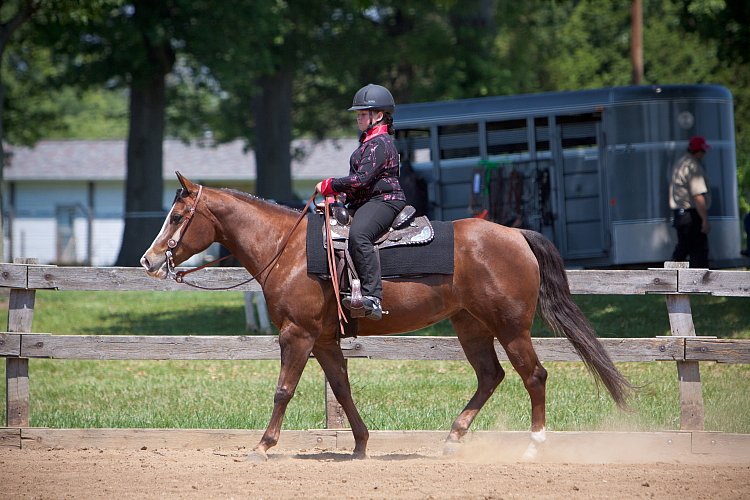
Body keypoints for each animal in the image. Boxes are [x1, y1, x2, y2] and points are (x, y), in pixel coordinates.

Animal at [141, 172, 636, 460]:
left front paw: (263, 445)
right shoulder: (323, 339)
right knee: (490, 376)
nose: (148, 260)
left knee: (534, 376)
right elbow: (342, 390)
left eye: (178, 216)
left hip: (511, 327)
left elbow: (283, 390)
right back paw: (453, 437)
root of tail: (516, 235)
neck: (288, 248)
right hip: (470, 325)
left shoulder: (297, 335)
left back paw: (534, 446)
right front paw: (360, 444)